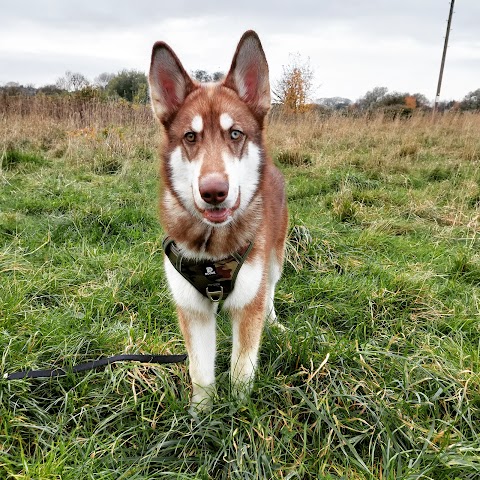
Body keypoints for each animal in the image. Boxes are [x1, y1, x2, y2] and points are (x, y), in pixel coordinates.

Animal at [148, 30, 286, 408]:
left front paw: (239, 413)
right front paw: (201, 415)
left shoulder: (248, 305)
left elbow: (242, 370)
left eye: (235, 133)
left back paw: (275, 322)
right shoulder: (192, 310)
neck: (213, 247)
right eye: (190, 136)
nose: (213, 191)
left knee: (270, 291)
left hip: (275, 257)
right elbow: (201, 372)